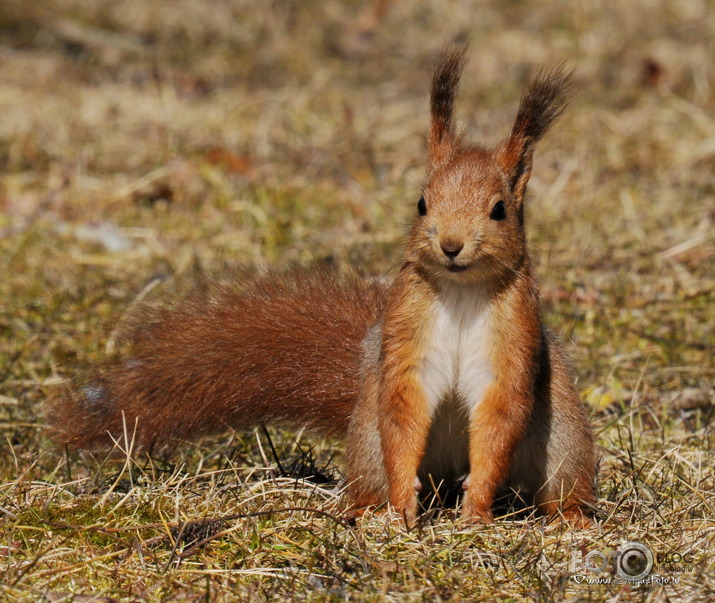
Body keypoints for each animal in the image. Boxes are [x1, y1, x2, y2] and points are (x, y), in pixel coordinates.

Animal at [49, 48, 600, 528]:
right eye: (421, 203)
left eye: (499, 210)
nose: (450, 245)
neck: (461, 291)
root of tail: (444, 475)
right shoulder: (408, 330)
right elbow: (404, 404)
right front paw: (401, 507)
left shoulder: (513, 338)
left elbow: (500, 414)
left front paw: (477, 512)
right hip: (368, 442)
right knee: (378, 462)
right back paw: (369, 510)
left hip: (562, 441)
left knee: (559, 484)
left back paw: (569, 518)